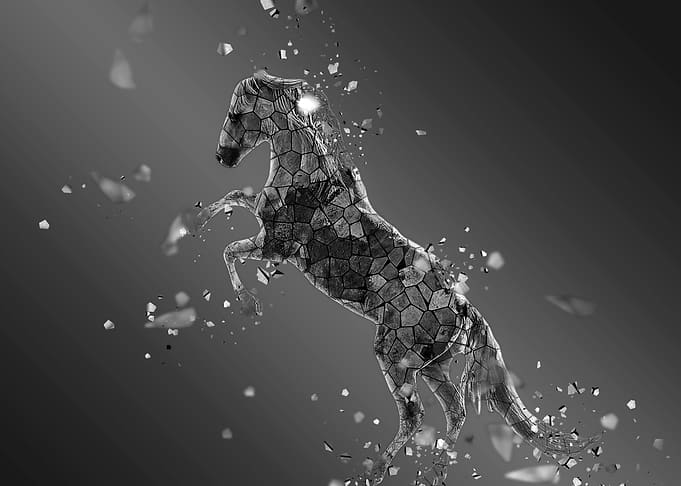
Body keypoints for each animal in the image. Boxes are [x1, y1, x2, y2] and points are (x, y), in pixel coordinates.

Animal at [194, 70, 600, 485]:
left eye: (238, 114)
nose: (222, 157)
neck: (310, 181)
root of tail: (463, 307)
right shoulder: (266, 232)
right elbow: (235, 198)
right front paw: (198, 220)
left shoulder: (274, 246)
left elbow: (229, 249)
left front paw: (248, 304)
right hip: (434, 367)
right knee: (455, 411)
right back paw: (434, 472)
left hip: (395, 358)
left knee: (415, 415)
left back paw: (376, 471)